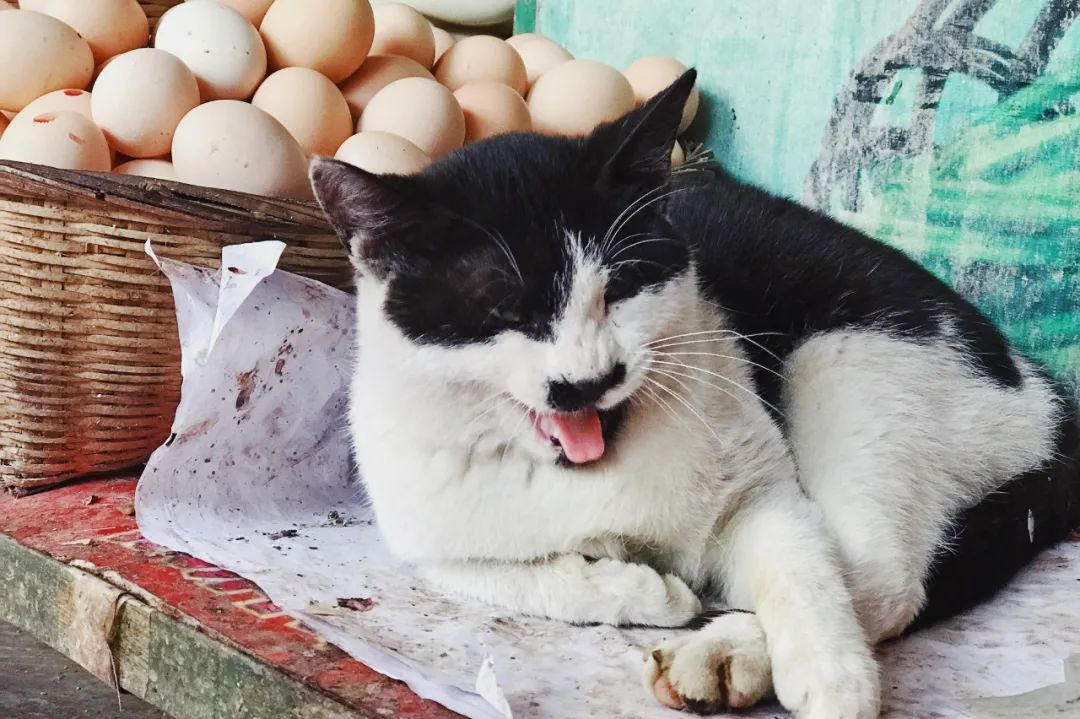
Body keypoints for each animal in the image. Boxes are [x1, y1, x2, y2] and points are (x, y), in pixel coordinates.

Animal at [311, 68, 1080, 716]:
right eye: (503, 310)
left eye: (620, 287)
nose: (590, 379)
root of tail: (1046, 393)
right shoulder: (421, 525)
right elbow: (487, 571)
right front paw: (641, 588)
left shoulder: (765, 486)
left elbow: (801, 560)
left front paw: (829, 673)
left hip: (848, 360)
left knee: (880, 581)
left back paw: (727, 653)